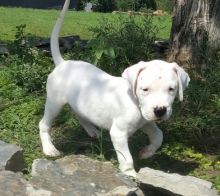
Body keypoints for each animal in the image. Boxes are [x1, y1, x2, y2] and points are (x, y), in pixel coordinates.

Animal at [38, 0, 190, 178]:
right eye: (145, 89)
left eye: (171, 89)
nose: (160, 111)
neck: (135, 102)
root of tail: (63, 63)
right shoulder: (119, 133)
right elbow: (127, 158)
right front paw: (130, 175)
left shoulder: (146, 121)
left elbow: (158, 136)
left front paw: (147, 152)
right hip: (54, 102)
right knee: (44, 124)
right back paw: (50, 149)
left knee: (80, 114)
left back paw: (92, 130)